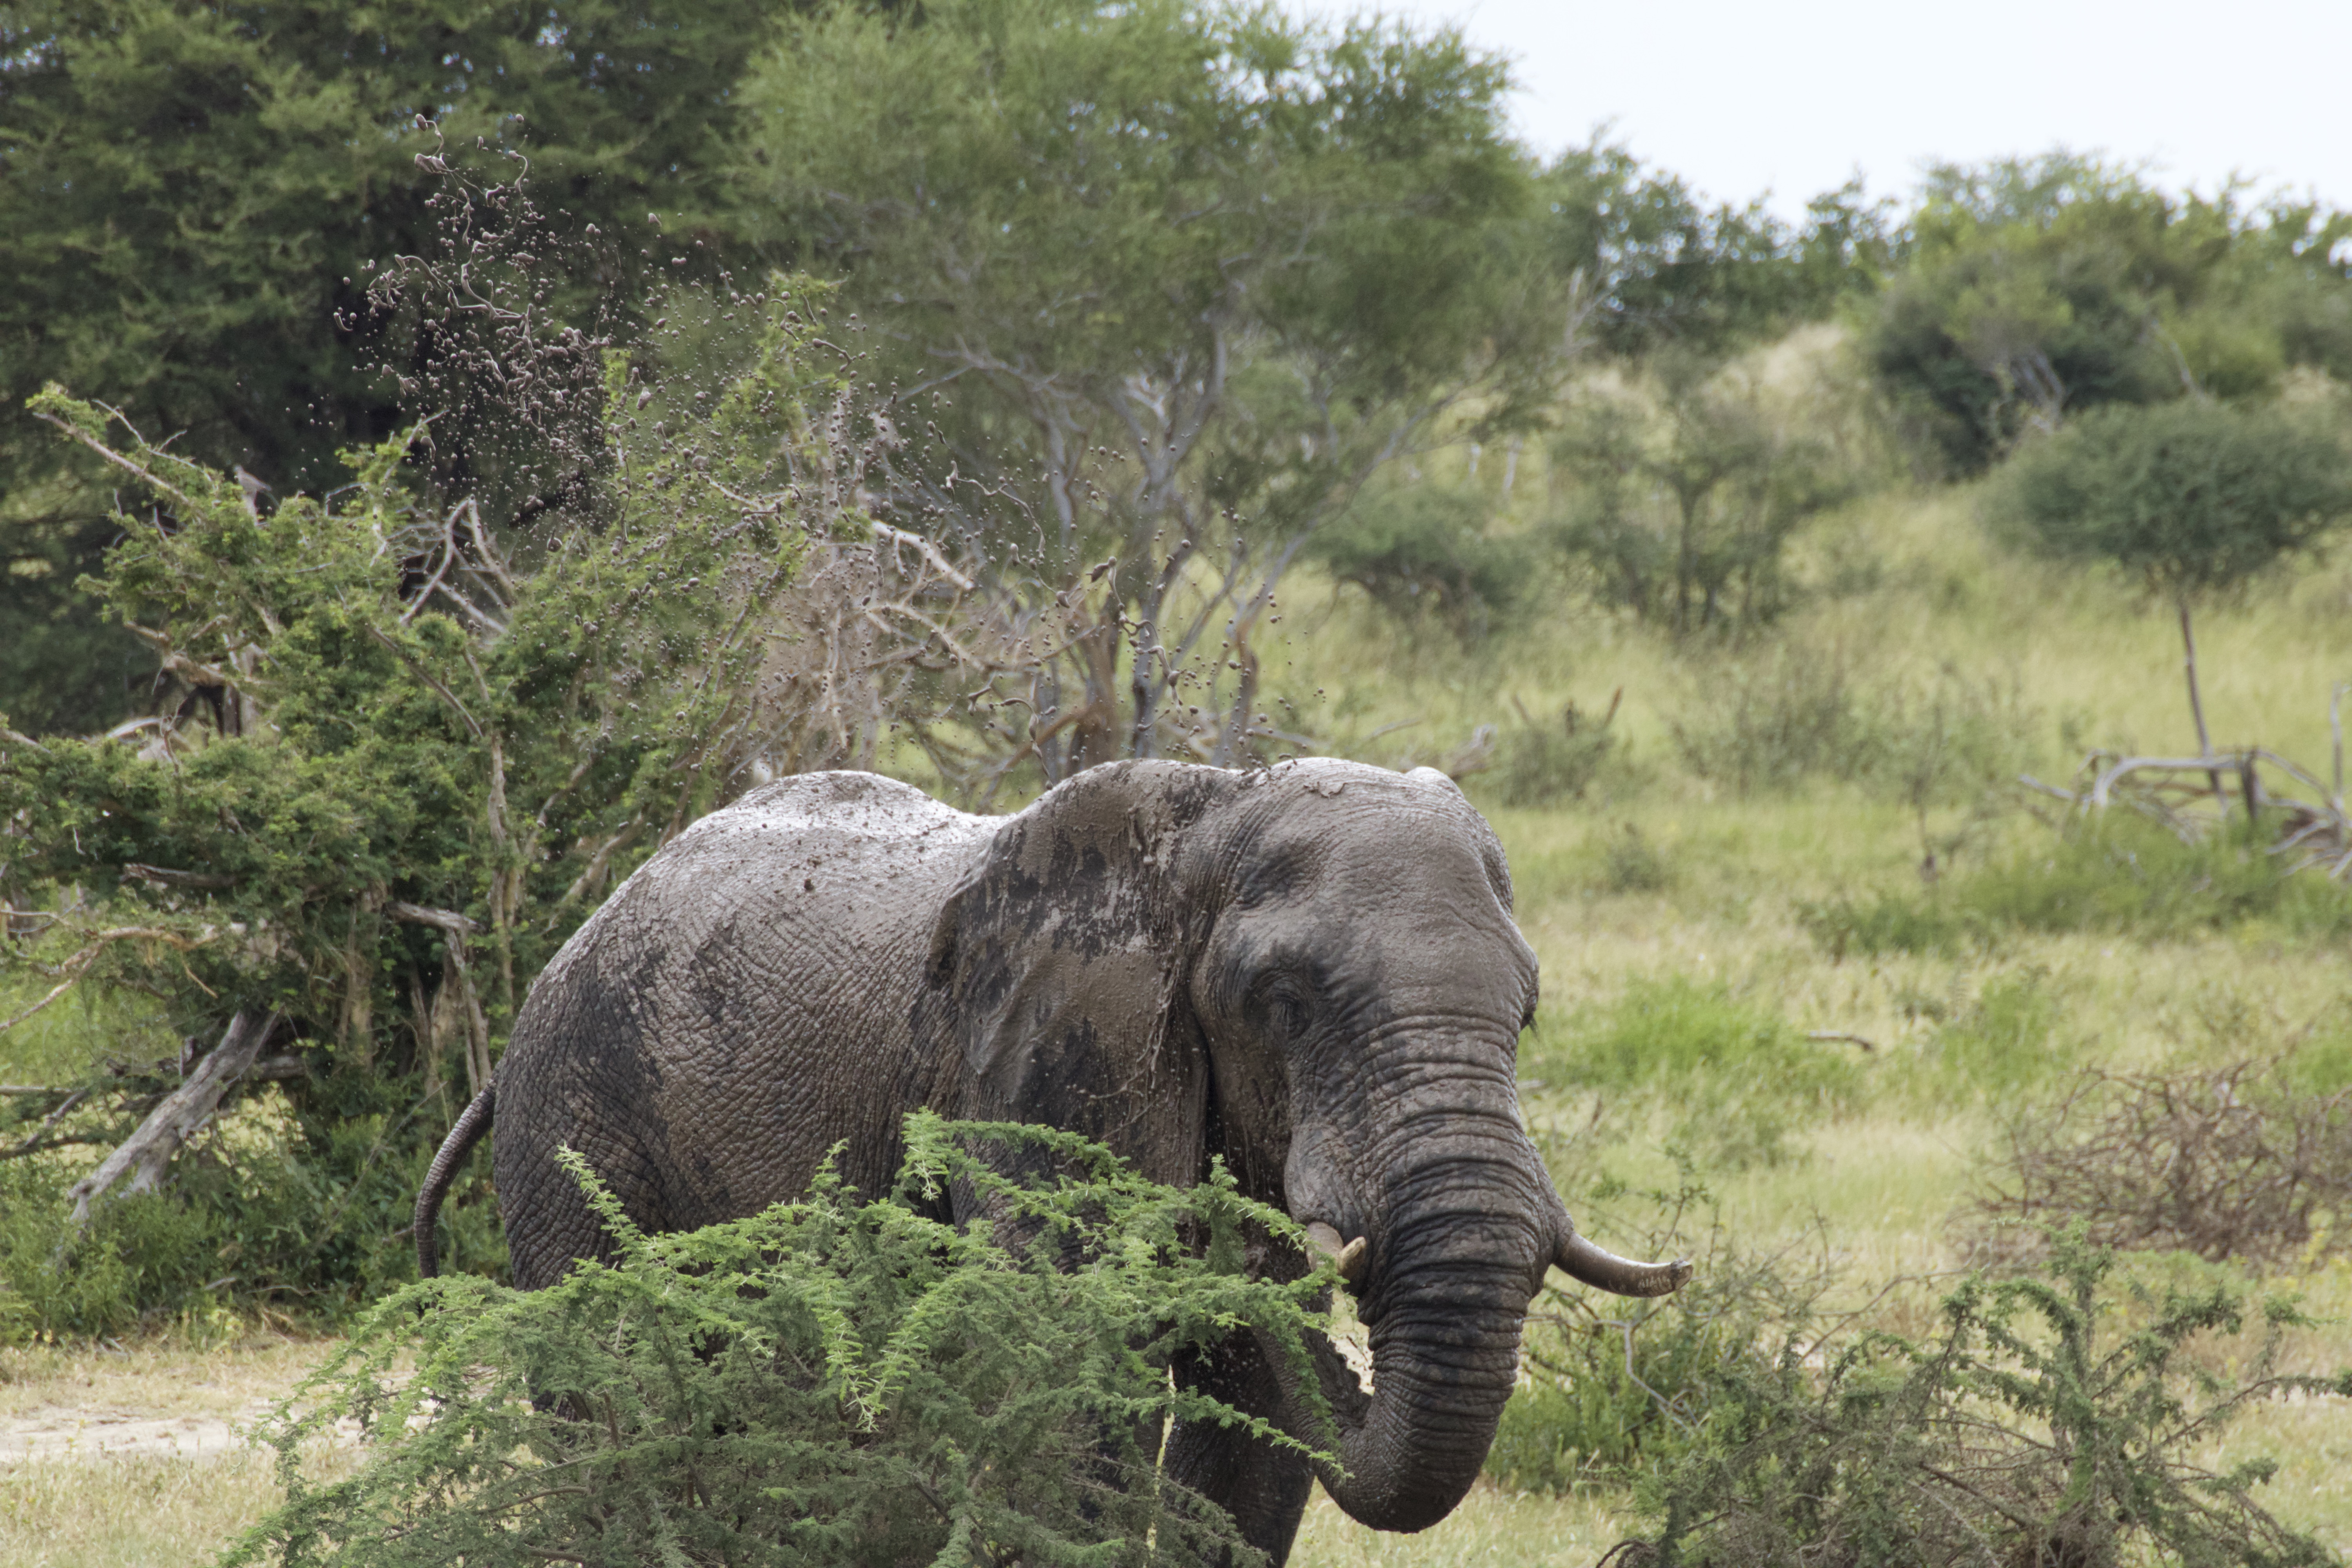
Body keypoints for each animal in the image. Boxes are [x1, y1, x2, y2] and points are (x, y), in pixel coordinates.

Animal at [414, 758, 1688, 1561]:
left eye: (1527, 1012)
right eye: (1283, 1001)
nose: (1344, 1359)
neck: (1209, 818)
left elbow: (1244, 1439)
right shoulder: (1039, 1080)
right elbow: (1076, 1410)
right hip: (574, 1124)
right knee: (615, 1401)